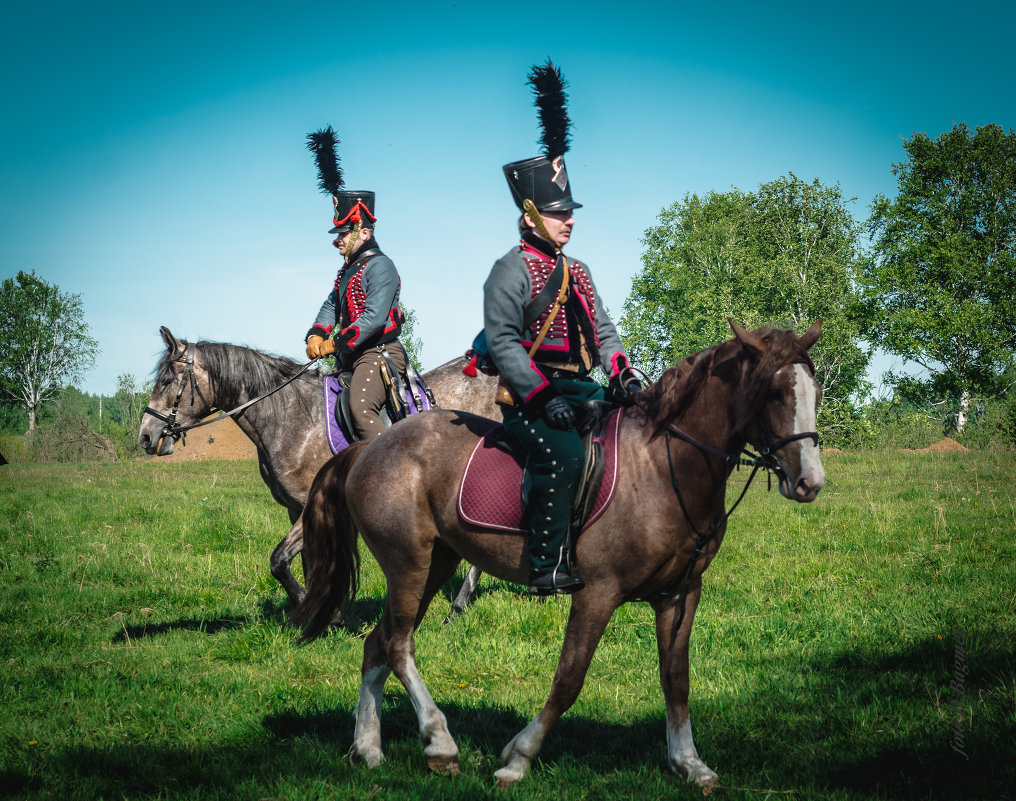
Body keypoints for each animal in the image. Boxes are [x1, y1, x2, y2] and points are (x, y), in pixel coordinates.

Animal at [138, 325, 495, 605]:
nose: (145, 436)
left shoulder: (312, 505)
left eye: (167, 380)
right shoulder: (294, 509)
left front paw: (306, 605)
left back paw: (459, 603)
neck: (288, 416)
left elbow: (279, 560)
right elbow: (306, 565)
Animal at [292, 319, 824, 788]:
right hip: (408, 564)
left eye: (815, 393)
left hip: (435, 565)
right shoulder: (597, 594)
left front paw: (689, 763)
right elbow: (569, 679)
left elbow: (676, 679)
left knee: (378, 644)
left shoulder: (680, 594)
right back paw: (439, 742)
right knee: (400, 646)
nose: (809, 483)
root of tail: (370, 447)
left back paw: (368, 748)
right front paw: (517, 759)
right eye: (774, 394)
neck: (662, 467)